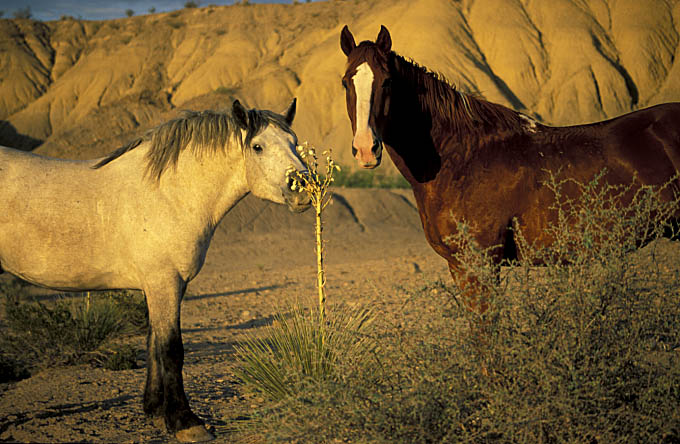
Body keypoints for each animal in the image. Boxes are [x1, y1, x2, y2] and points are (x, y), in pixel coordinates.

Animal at [0, 99, 308, 442]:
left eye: (295, 143)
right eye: (258, 146)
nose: (303, 188)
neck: (169, 194)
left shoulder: (165, 285)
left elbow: (152, 343)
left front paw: (156, 411)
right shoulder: (164, 282)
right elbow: (171, 349)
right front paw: (186, 422)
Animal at [340, 25, 680, 306]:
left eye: (387, 82)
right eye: (345, 83)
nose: (366, 149)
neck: (461, 157)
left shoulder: (479, 263)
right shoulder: (459, 266)